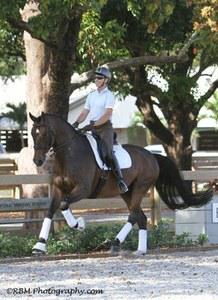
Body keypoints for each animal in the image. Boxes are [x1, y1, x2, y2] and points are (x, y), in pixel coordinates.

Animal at [29, 112, 214, 255]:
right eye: (32, 133)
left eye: (42, 134)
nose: (37, 161)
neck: (69, 155)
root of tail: (152, 156)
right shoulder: (58, 189)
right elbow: (50, 211)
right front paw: (39, 245)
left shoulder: (83, 189)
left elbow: (64, 205)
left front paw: (79, 224)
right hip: (127, 192)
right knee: (140, 217)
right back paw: (140, 250)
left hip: (140, 187)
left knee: (133, 215)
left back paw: (116, 243)